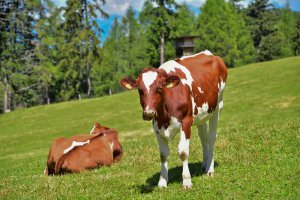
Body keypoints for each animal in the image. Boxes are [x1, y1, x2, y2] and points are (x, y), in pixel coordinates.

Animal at [119, 50, 227, 188]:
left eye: (159, 88)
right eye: (140, 90)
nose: (148, 113)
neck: (165, 115)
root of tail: (209, 53)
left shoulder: (186, 122)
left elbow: (183, 152)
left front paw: (187, 181)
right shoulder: (156, 127)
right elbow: (163, 155)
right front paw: (162, 182)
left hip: (217, 106)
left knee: (212, 137)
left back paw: (210, 169)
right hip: (201, 114)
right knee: (204, 137)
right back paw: (204, 163)